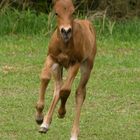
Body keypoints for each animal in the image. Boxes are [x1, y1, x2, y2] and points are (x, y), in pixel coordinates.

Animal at [35, 0, 96, 140]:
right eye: (56, 13)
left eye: (73, 12)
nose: (66, 31)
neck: (64, 45)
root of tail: (88, 24)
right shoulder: (52, 57)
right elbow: (45, 78)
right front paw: (39, 117)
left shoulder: (75, 63)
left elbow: (66, 90)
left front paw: (61, 112)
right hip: (58, 66)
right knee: (58, 87)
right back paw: (45, 124)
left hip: (87, 66)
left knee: (79, 92)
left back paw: (74, 134)